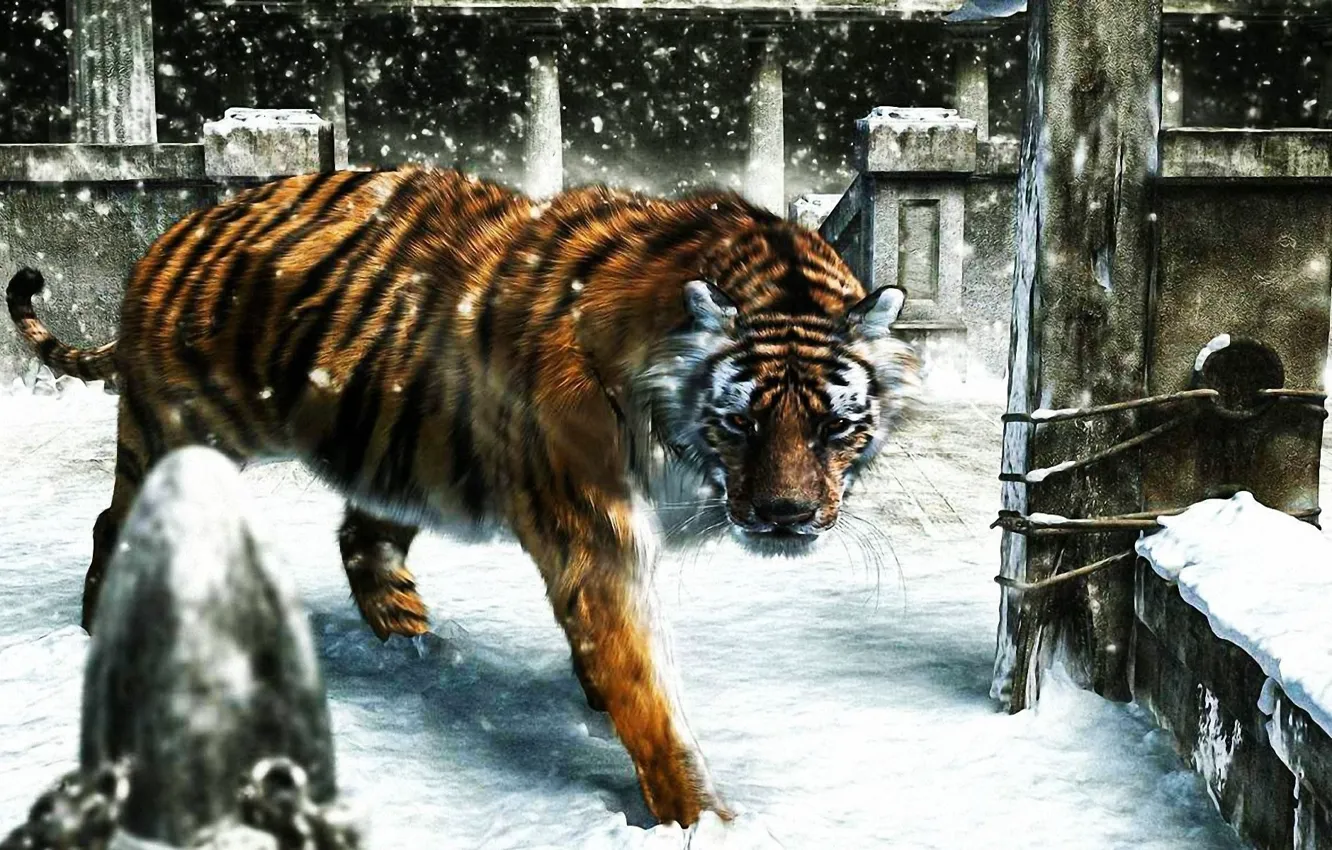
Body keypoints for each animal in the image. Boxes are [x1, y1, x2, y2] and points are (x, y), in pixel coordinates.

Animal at [6, 165, 918, 827]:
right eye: (740, 421)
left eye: (834, 427)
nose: (786, 517)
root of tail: (176, 229)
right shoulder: (597, 536)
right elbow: (645, 684)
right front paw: (705, 817)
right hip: (185, 430)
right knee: (114, 519)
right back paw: (104, 621)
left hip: (394, 452)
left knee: (361, 541)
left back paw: (416, 651)